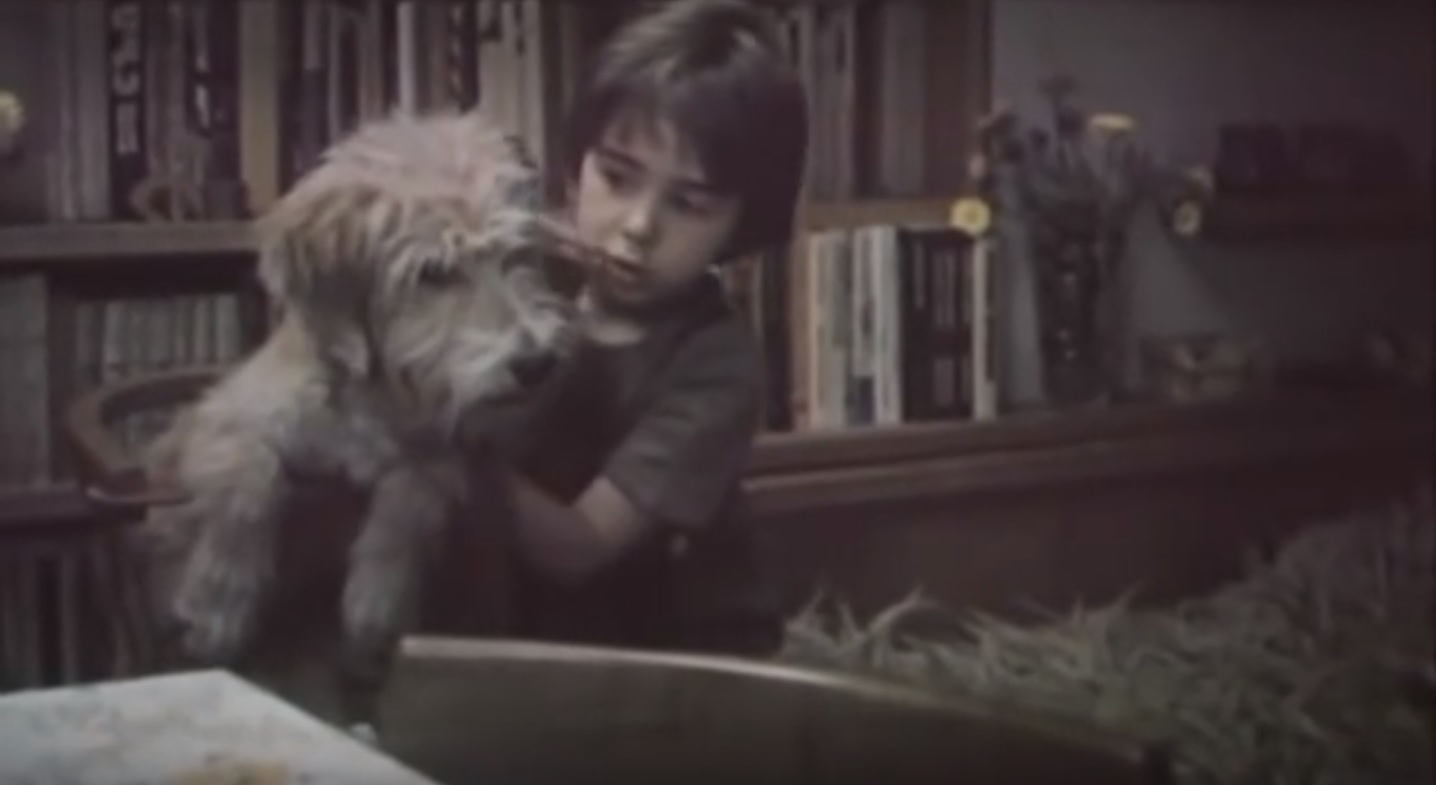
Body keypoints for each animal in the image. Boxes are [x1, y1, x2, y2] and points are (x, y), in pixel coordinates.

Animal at [131, 107, 585, 689]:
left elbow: (409, 504)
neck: (375, 396)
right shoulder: (212, 422)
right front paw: (219, 605)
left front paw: (376, 609)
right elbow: (249, 477)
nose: (536, 364)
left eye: (517, 255)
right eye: (433, 271)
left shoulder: (443, 455)